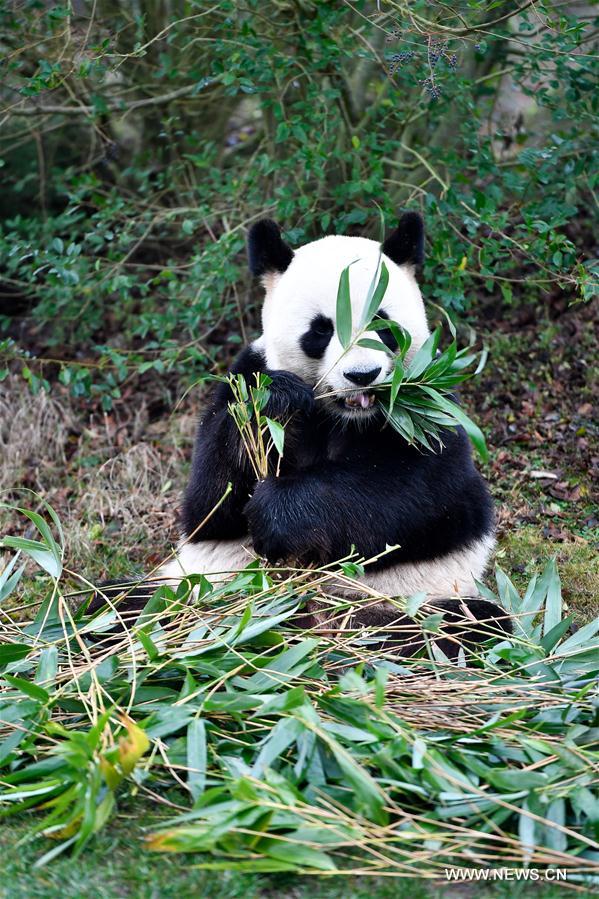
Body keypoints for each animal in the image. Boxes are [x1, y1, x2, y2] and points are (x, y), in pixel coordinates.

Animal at [145, 211, 509, 653]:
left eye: (382, 324)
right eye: (321, 330)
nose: (362, 375)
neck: (342, 417)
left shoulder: (428, 405)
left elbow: (422, 492)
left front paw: (278, 513)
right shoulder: (246, 374)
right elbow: (208, 503)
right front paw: (274, 403)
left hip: (411, 602)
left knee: (472, 626)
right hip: (191, 588)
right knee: (125, 605)